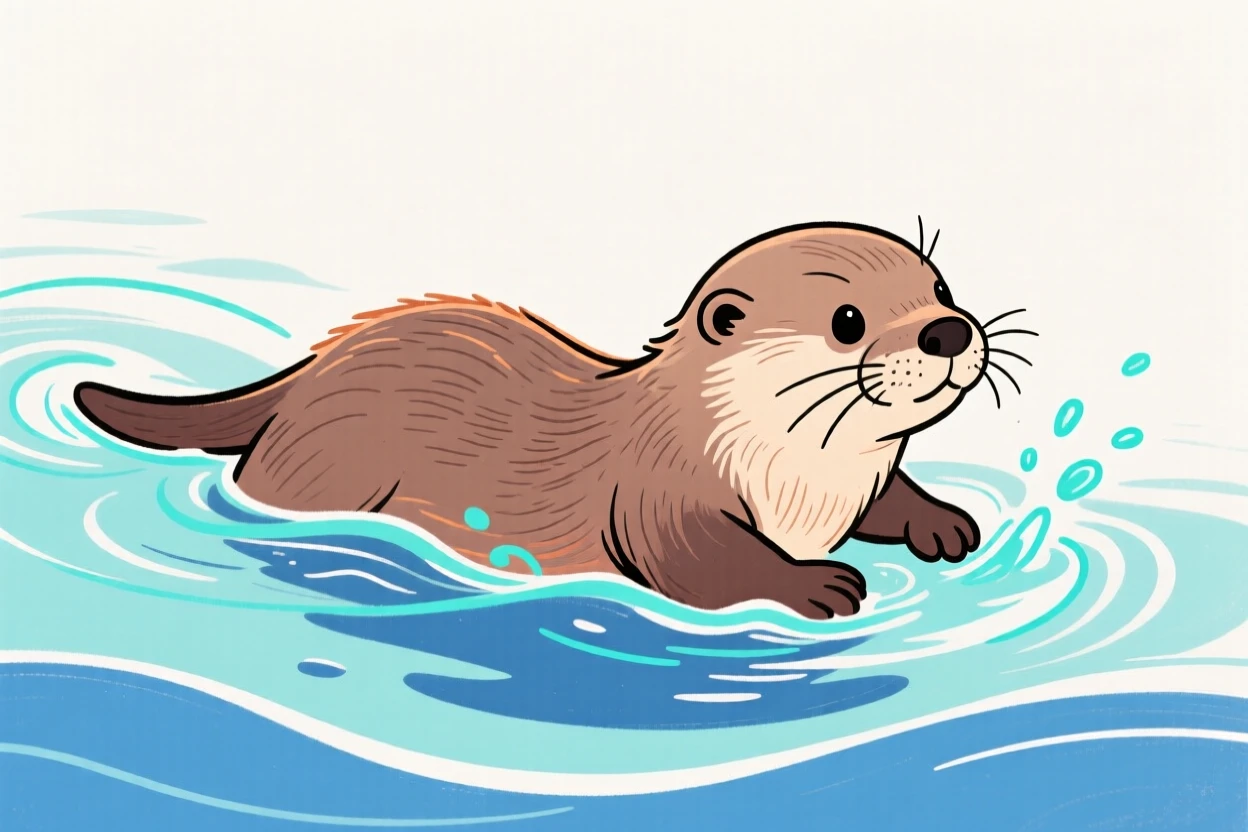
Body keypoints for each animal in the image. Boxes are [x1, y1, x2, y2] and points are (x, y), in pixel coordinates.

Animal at [74, 222, 1006, 620]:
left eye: (941, 289)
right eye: (848, 320)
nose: (949, 331)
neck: (801, 478)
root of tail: (312, 370)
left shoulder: (858, 483)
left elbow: (893, 497)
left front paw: (943, 523)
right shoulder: (659, 492)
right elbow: (700, 562)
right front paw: (814, 584)